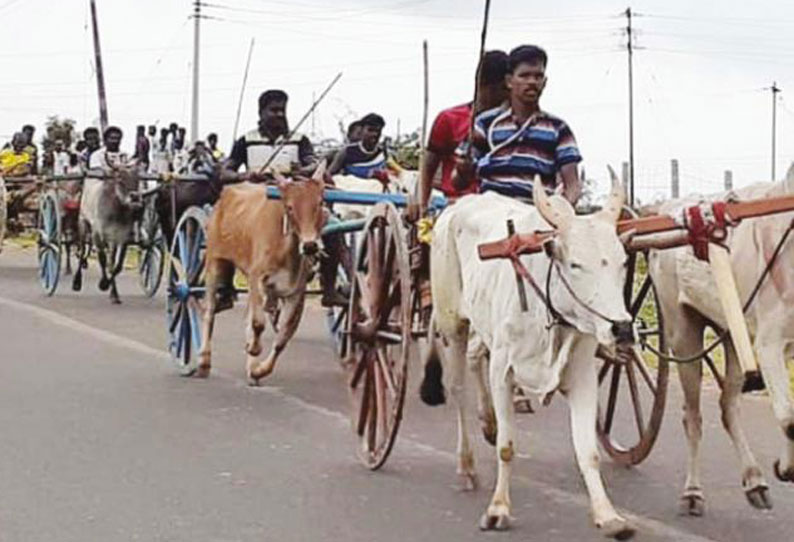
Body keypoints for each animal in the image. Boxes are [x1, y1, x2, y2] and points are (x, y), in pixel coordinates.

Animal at [201, 168, 324, 384]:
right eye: (290, 207)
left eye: (319, 203)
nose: (310, 246)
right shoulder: (256, 277)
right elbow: (258, 323)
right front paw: (253, 349)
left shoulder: (294, 293)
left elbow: (282, 338)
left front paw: (259, 370)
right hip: (214, 262)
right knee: (209, 310)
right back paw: (204, 362)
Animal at [424, 175, 636, 540]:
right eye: (575, 264)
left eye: (623, 262)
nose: (621, 328)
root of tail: (456, 207)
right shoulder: (502, 371)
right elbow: (507, 447)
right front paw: (498, 510)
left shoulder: (582, 377)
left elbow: (589, 452)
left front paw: (608, 516)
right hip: (453, 323)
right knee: (458, 389)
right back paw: (466, 465)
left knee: (475, 358)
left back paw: (487, 422)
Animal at [648, 163, 792, 520]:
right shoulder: (769, 343)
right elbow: (788, 418)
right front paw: (787, 467)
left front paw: (783, 467)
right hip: (682, 331)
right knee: (693, 416)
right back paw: (692, 493)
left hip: (732, 336)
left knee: (728, 408)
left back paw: (755, 481)